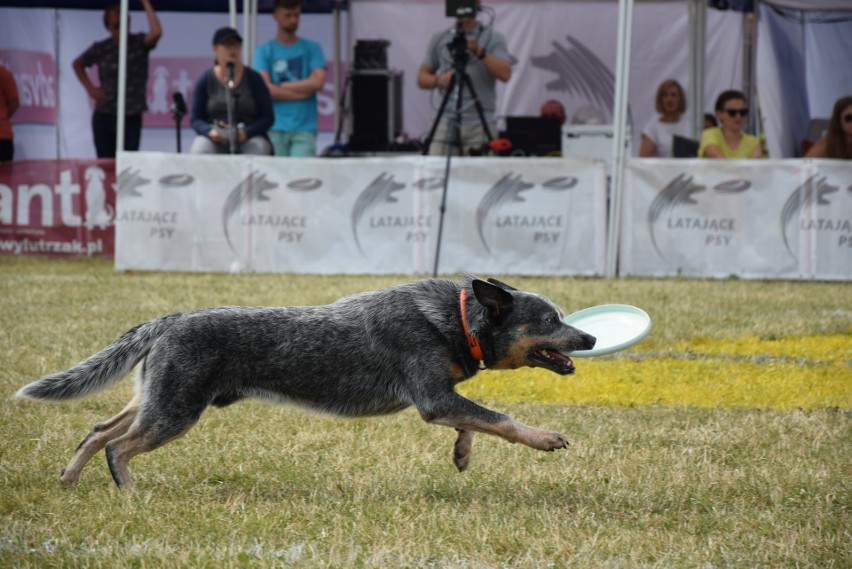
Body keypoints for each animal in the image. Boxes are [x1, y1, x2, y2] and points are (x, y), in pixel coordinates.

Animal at [16, 276, 596, 488]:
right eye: (551, 319)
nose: (590, 337)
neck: (456, 320)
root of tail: (169, 319)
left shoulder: (443, 397)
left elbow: (476, 420)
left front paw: (461, 453)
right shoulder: (433, 398)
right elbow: (502, 419)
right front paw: (545, 438)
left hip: (158, 400)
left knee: (97, 430)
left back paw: (70, 479)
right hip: (174, 412)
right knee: (119, 447)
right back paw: (130, 492)